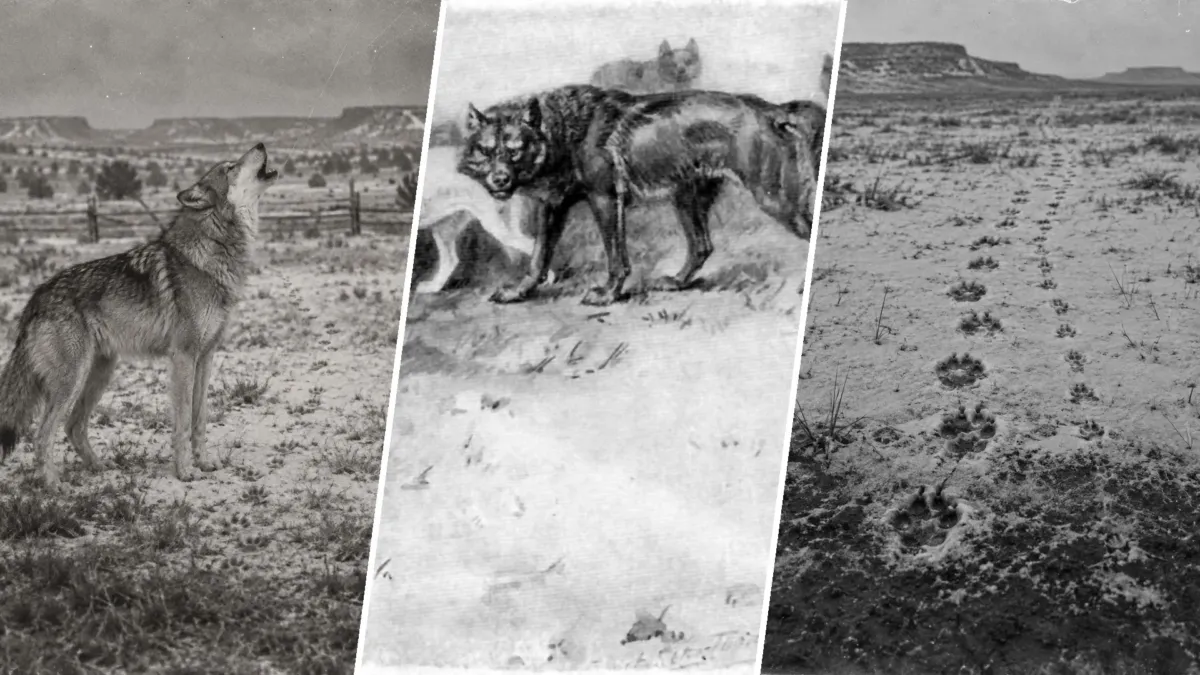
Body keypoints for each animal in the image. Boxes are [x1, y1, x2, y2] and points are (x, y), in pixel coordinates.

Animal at [0, 143, 278, 489]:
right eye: (229, 168)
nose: (261, 144)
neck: (212, 251)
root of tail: (35, 297)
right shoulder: (183, 356)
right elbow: (183, 421)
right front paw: (185, 472)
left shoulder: (207, 356)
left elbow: (200, 418)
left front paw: (205, 463)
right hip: (72, 380)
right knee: (42, 434)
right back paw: (53, 484)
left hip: (100, 374)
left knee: (73, 426)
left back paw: (99, 467)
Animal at [458, 84, 817, 306]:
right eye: (486, 151)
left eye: (515, 151)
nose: (500, 179)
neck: (563, 133)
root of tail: (772, 109)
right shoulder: (553, 207)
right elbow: (538, 257)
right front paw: (518, 292)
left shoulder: (605, 200)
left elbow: (616, 259)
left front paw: (607, 295)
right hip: (687, 198)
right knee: (702, 246)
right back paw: (676, 282)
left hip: (774, 199)